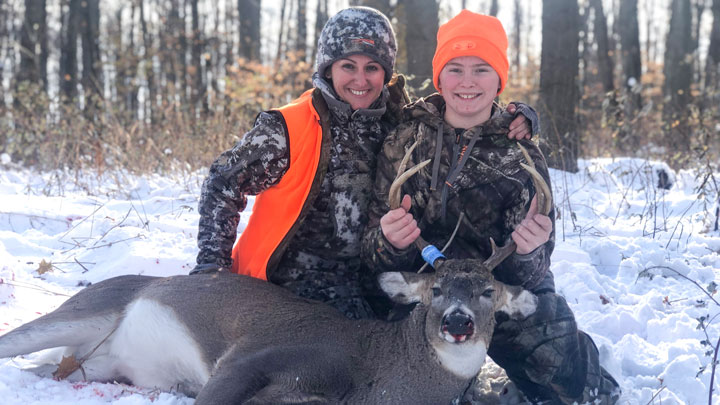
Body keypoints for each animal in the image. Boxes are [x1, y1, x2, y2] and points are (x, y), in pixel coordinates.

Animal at [1, 144, 552, 402]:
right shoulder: (251, 355)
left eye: (487, 292)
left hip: (98, 364)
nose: (457, 322)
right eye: (435, 289)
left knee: (49, 369)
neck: (376, 378)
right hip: (86, 308)